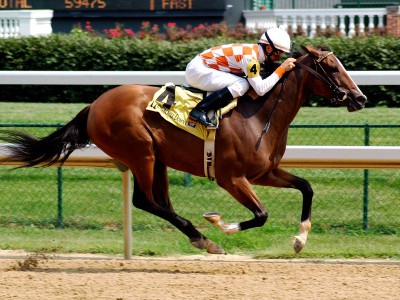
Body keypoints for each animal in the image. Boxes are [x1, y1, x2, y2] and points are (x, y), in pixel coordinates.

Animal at [1, 45, 368, 254]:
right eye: (332, 67)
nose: (361, 97)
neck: (260, 114)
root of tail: (94, 105)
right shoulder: (232, 178)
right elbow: (261, 215)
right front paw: (220, 223)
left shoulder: (263, 172)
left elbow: (306, 187)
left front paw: (300, 239)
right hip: (141, 153)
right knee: (146, 201)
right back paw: (204, 239)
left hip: (158, 159)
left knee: (160, 202)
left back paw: (199, 238)